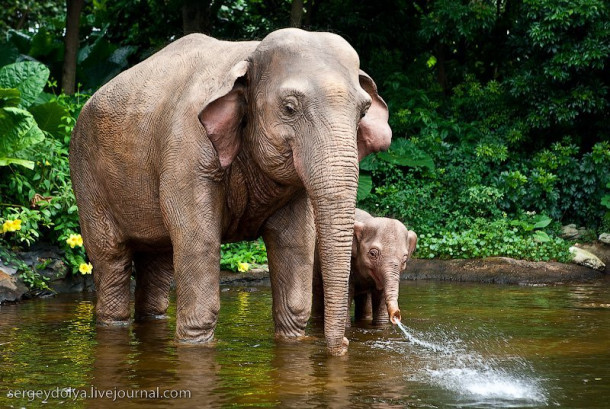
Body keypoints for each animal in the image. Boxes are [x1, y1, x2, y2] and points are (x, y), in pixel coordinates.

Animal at [67, 27, 390, 354]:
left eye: (363, 111)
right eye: (289, 108)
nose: (344, 346)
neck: (248, 53)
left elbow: (295, 243)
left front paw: (294, 339)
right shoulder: (187, 153)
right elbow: (199, 240)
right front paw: (195, 345)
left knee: (158, 263)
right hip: (87, 176)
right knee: (111, 258)